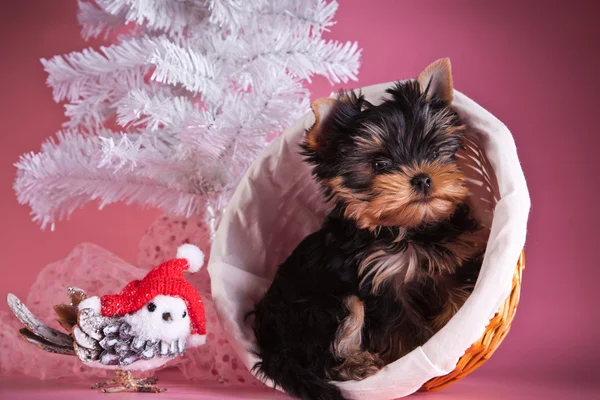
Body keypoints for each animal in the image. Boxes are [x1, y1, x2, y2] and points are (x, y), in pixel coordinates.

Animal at [248, 59, 488, 400]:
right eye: (378, 165)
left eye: (433, 151)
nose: (423, 178)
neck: (407, 229)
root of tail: (272, 346)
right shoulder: (380, 284)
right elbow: (405, 328)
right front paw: (420, 347)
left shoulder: (449, 263)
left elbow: (456, 295)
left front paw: (453, 325)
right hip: (322, 310)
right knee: (324, 355)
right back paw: (357, 365)